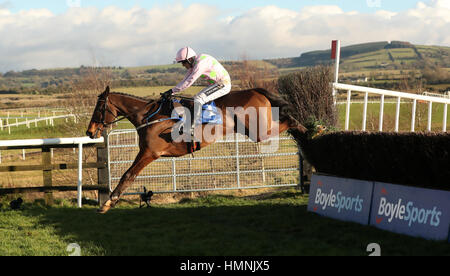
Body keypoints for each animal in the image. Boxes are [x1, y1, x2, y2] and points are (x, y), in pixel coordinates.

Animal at [86, 86, 308, 213]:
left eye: (98, 108)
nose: (89, 131)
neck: (149, 116)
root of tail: (256, 91)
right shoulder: (148, 153)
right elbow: (128, 175)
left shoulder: (149, 153)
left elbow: (128, 175)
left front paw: (108, 203)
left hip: (259, 130)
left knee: (290, 121)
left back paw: (308, 131)